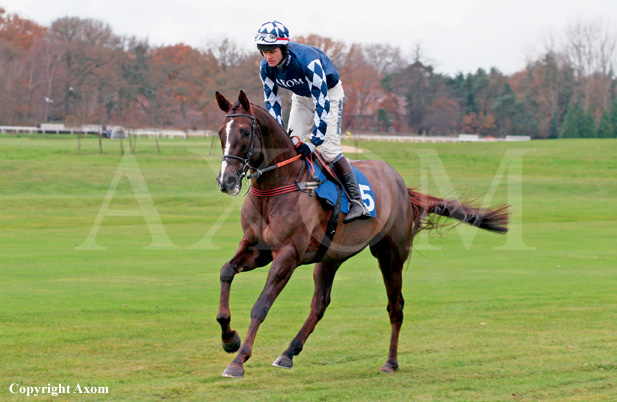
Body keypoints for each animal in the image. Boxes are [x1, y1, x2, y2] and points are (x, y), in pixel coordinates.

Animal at [214, 90, 508, 376]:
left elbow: (261, 305)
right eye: (220, 132)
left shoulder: (288, 255)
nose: (226, 181)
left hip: (390, 256)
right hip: (330, 257)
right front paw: (230, 339)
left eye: (245, 132)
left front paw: (238, 361)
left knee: (395, 306)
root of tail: (401, 185)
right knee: (320, 304)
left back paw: (390, 362)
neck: (279, 185)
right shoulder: (257, 247)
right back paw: (288, 353)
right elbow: (226, 271)